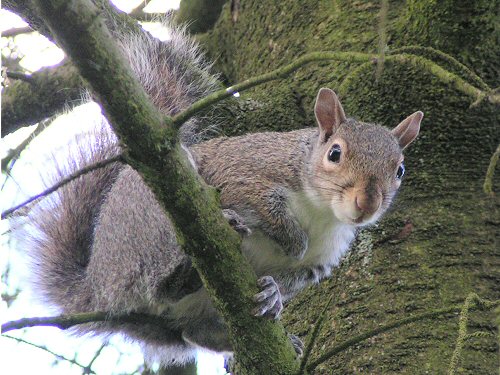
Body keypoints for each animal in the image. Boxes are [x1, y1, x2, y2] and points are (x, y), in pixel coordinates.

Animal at [20, 19, 422, 366]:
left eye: (400, 170)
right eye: (335, 154)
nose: (366, 204)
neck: (321, 213)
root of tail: (96, 283)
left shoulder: (318, 263)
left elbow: (290, 276)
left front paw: (274, 294)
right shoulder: (245, 174)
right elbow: (264, 206)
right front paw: (292, 239)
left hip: (184, 317)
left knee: (194, 331)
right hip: (152, 224)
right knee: (160, 284)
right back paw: (194, 260)